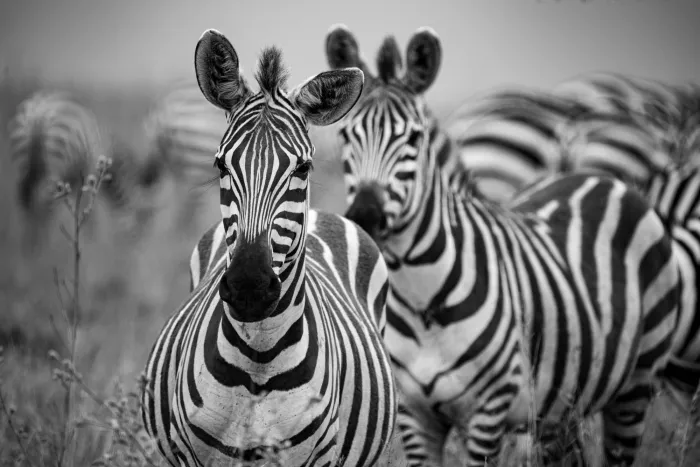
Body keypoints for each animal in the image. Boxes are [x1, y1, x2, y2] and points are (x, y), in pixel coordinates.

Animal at [325, 24, 681, 466]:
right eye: (345, 135)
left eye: (414, 138)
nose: (366, 216)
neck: (420, 297)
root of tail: (601, 178)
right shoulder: (415, 415)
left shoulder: (488, 411)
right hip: (561, 406)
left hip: (637, 385)